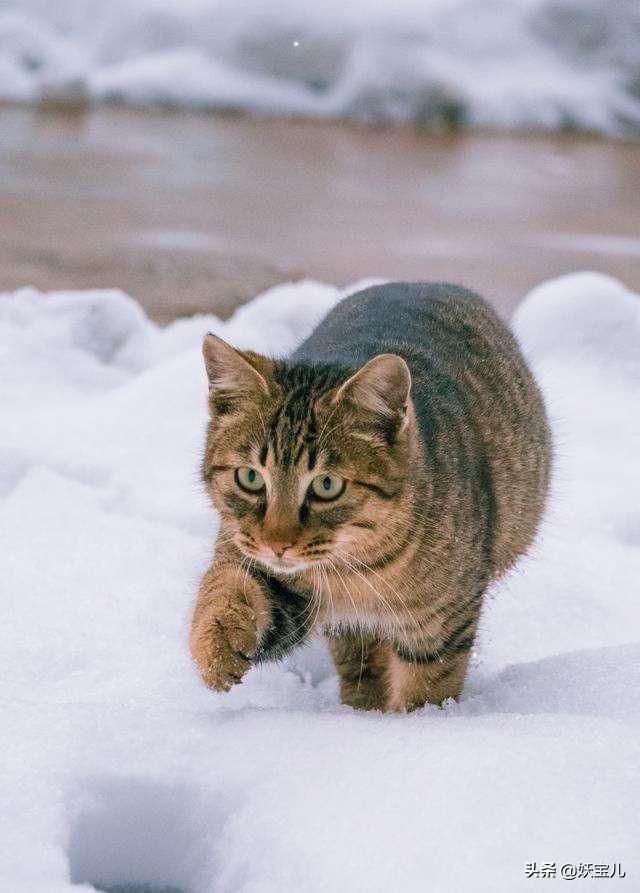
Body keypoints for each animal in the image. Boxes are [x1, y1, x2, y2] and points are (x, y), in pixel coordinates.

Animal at [189, 278, 552, 712]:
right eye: (250, 478)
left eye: (327, 485)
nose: (277, 544)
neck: (356, 569)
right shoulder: (268, 572)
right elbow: (226, 586)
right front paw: (216, 647)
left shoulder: (442, 623)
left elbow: (428, 687)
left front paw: (417, 722)